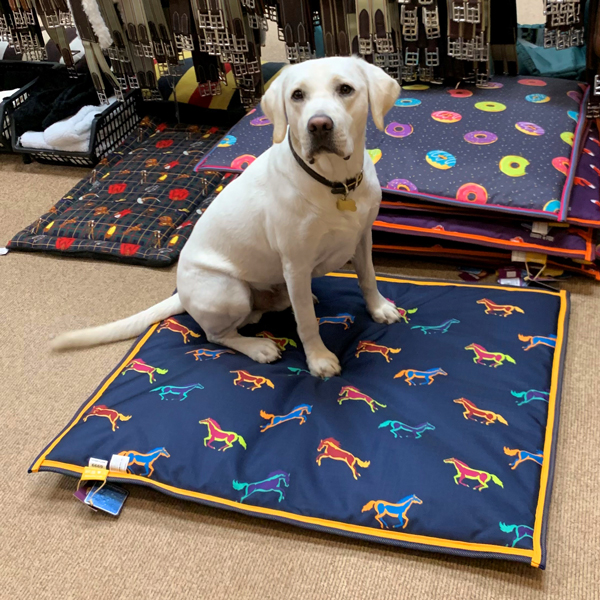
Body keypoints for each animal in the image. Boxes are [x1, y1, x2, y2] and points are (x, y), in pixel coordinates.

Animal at [50, 56, 398, 376]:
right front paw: (319, 359)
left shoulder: (362, 238)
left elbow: (368, 278)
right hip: (229, 292)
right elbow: (307, 325)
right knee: (217, 335)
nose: (319, 125)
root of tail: (182, 295)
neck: (336, 183)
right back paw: (258, 346)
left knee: (276, 307)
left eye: (345, 89)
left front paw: (379, 307)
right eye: (297, 95)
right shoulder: (296, 264)